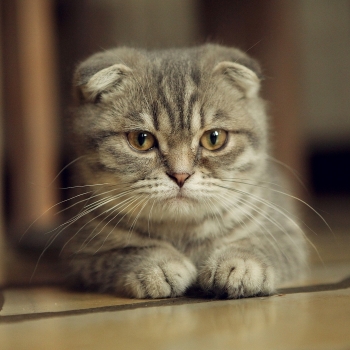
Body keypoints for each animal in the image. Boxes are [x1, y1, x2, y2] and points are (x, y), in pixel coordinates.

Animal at [64, 43, 308, 298]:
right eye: (141, 139)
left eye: (214, 138)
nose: (180, 175)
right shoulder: (81, 254)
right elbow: (127, 251)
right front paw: (158, 266)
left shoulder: (287, 235)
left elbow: (257, 244)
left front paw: (239, 264)